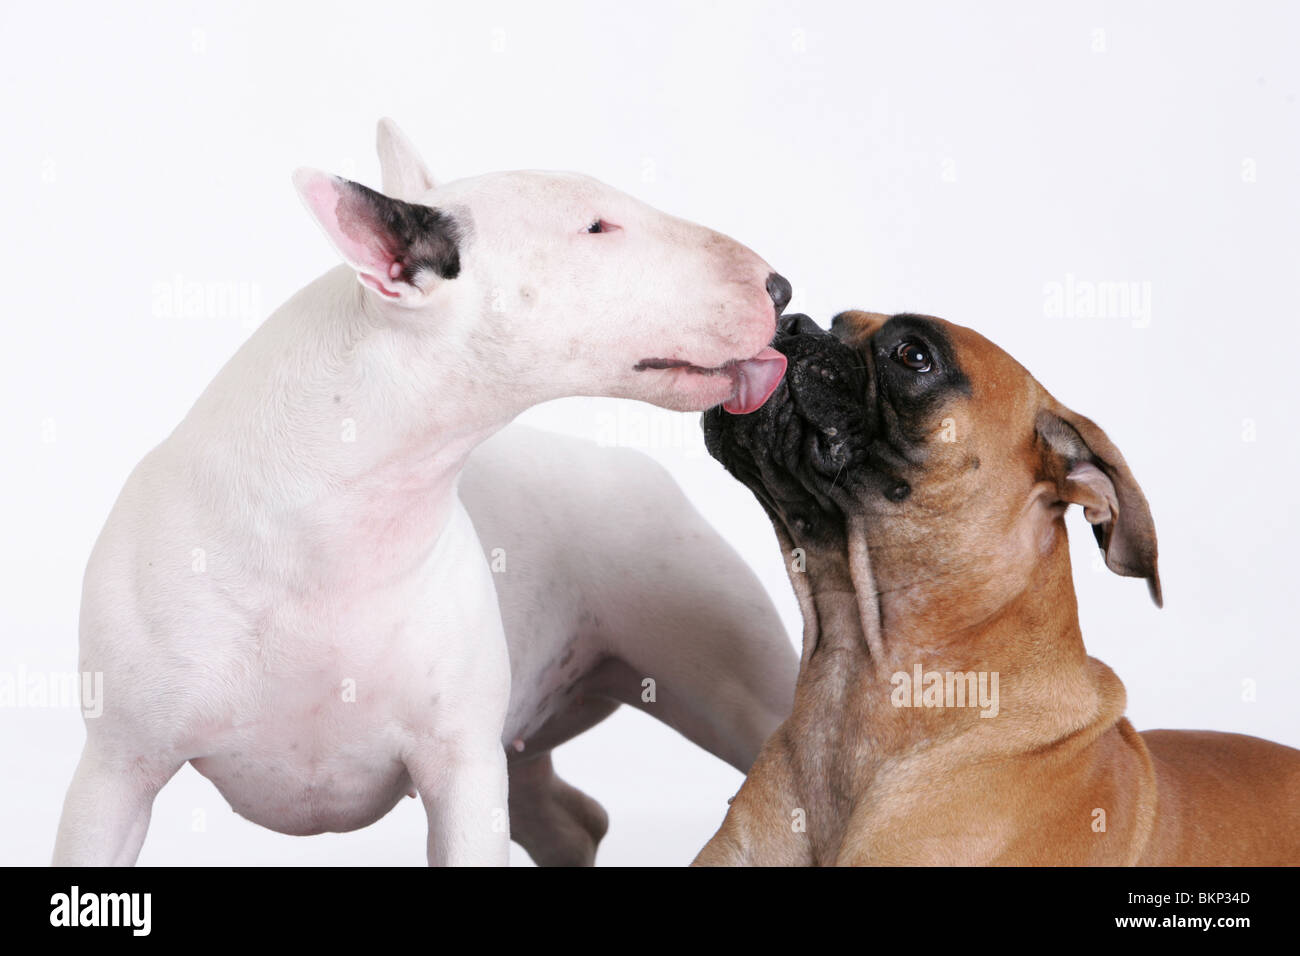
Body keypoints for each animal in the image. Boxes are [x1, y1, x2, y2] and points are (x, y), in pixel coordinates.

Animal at [53, 119, 790, 868]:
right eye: (596, 227)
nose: (781, 286)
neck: (334, 523)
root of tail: (624, 462)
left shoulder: (462, 769)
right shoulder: (116, 771)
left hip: (735, 690)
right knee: (573, 820)